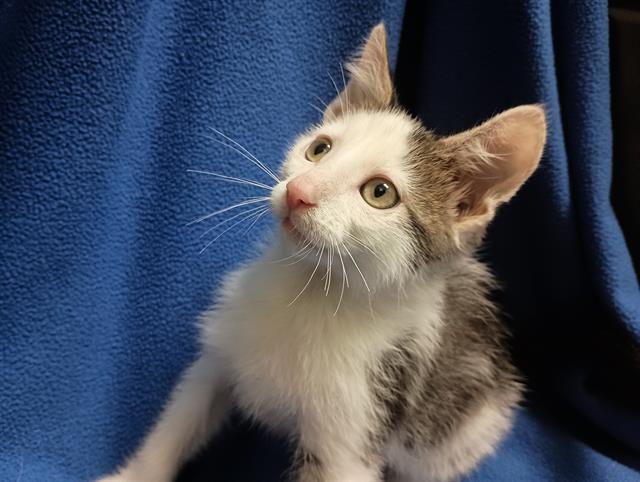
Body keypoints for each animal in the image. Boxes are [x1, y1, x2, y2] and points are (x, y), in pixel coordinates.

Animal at [97, 21, 548, 482]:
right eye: (319, 149)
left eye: (380, 193)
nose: (299, 191)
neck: (310, 290)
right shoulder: (219, 357)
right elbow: (179, 422)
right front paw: (134, 475)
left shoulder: (355, 428)